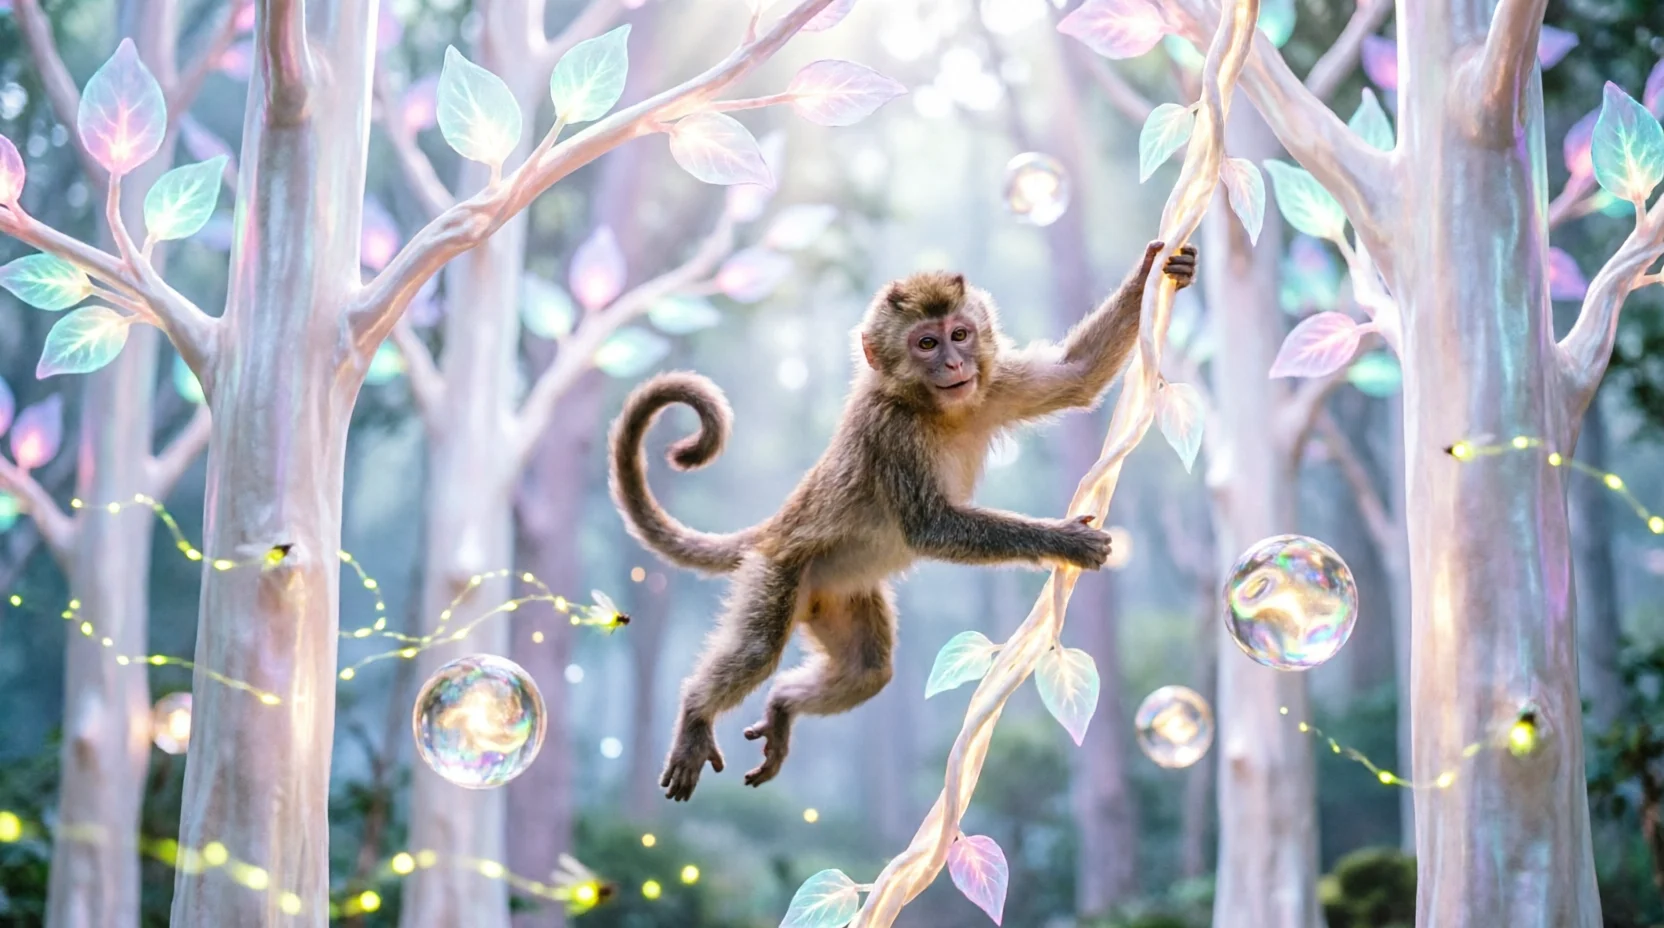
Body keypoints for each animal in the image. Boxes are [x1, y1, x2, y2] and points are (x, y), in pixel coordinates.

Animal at [609, 240, 1197, 801]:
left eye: (959, 334)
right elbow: (931, 527)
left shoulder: (993, 385)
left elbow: (1078, 376)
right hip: (777, 573)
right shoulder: (890, 431)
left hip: (834, 593)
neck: (935, 409)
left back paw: (783, 706)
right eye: (926, 344)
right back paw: (695, 714)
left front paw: (1156, 270)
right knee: (758, 649)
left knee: (869, 671)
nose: (955, 365)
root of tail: (773, 529)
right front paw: (1065, 541)